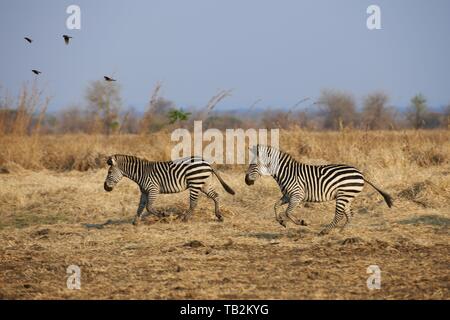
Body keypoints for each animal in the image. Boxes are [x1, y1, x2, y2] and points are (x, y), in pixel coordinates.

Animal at [104, 155, 236, 225]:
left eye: (109, 172)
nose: (105, 188)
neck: (141, 173)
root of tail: (206, 162)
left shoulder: (153, 189)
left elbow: (149, 207)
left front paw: (165, 216)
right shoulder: (144, 192)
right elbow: (140, 206)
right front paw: (135, 222)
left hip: (195, 182)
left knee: (194, 203)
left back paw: (185, 218)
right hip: (204, 184)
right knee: (216, 196)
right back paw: (219, 216)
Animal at [244, 145, 392, 235]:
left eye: (253, 164)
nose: (246, 181)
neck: (286, 173)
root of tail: (360, 173)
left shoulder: (297, 195)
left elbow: (288, 212)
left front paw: (301, 222)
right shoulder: (287, 196)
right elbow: (275, 206)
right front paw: (281, 222)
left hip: (343, 196)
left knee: (338, 215)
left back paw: (325, 231)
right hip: (347, 197)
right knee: (349, 215)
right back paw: (341, 232)